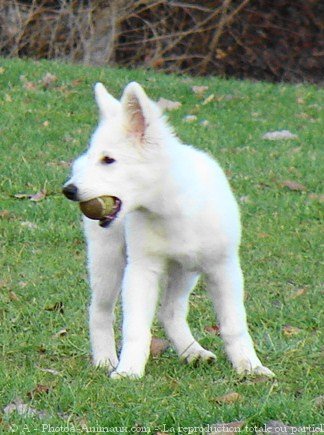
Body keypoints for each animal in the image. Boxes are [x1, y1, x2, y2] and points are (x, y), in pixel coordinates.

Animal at [61, 82, 274, 378]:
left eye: (108, 160)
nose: (68, 190)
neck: (173, 209)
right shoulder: (141, 270)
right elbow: (135, 328)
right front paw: (129, 371)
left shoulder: (224, 268)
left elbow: (234, 325)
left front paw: (250, 366)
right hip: (108, 260)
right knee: (100, 311)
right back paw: (105, 358)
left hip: (186, 271)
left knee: (169, 311)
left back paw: (193, 352)